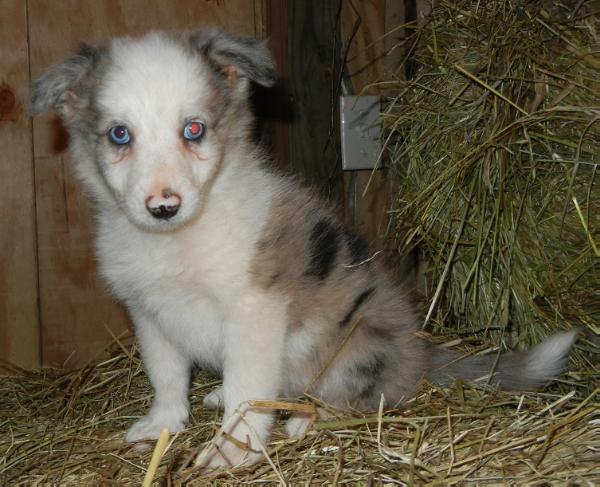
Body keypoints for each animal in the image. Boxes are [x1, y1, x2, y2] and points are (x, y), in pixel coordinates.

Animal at [29, 28, 580, 470]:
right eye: (120, 135)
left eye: (194, 130)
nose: (163, 207)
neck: (176, 240)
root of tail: (418, 355)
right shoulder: (150, 314)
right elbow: (166, 377)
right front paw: (162, 426)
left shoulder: (254, 310)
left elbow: (250, 390)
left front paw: (232, 450)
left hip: (352, 346)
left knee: (356, 396)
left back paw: (307, 420)